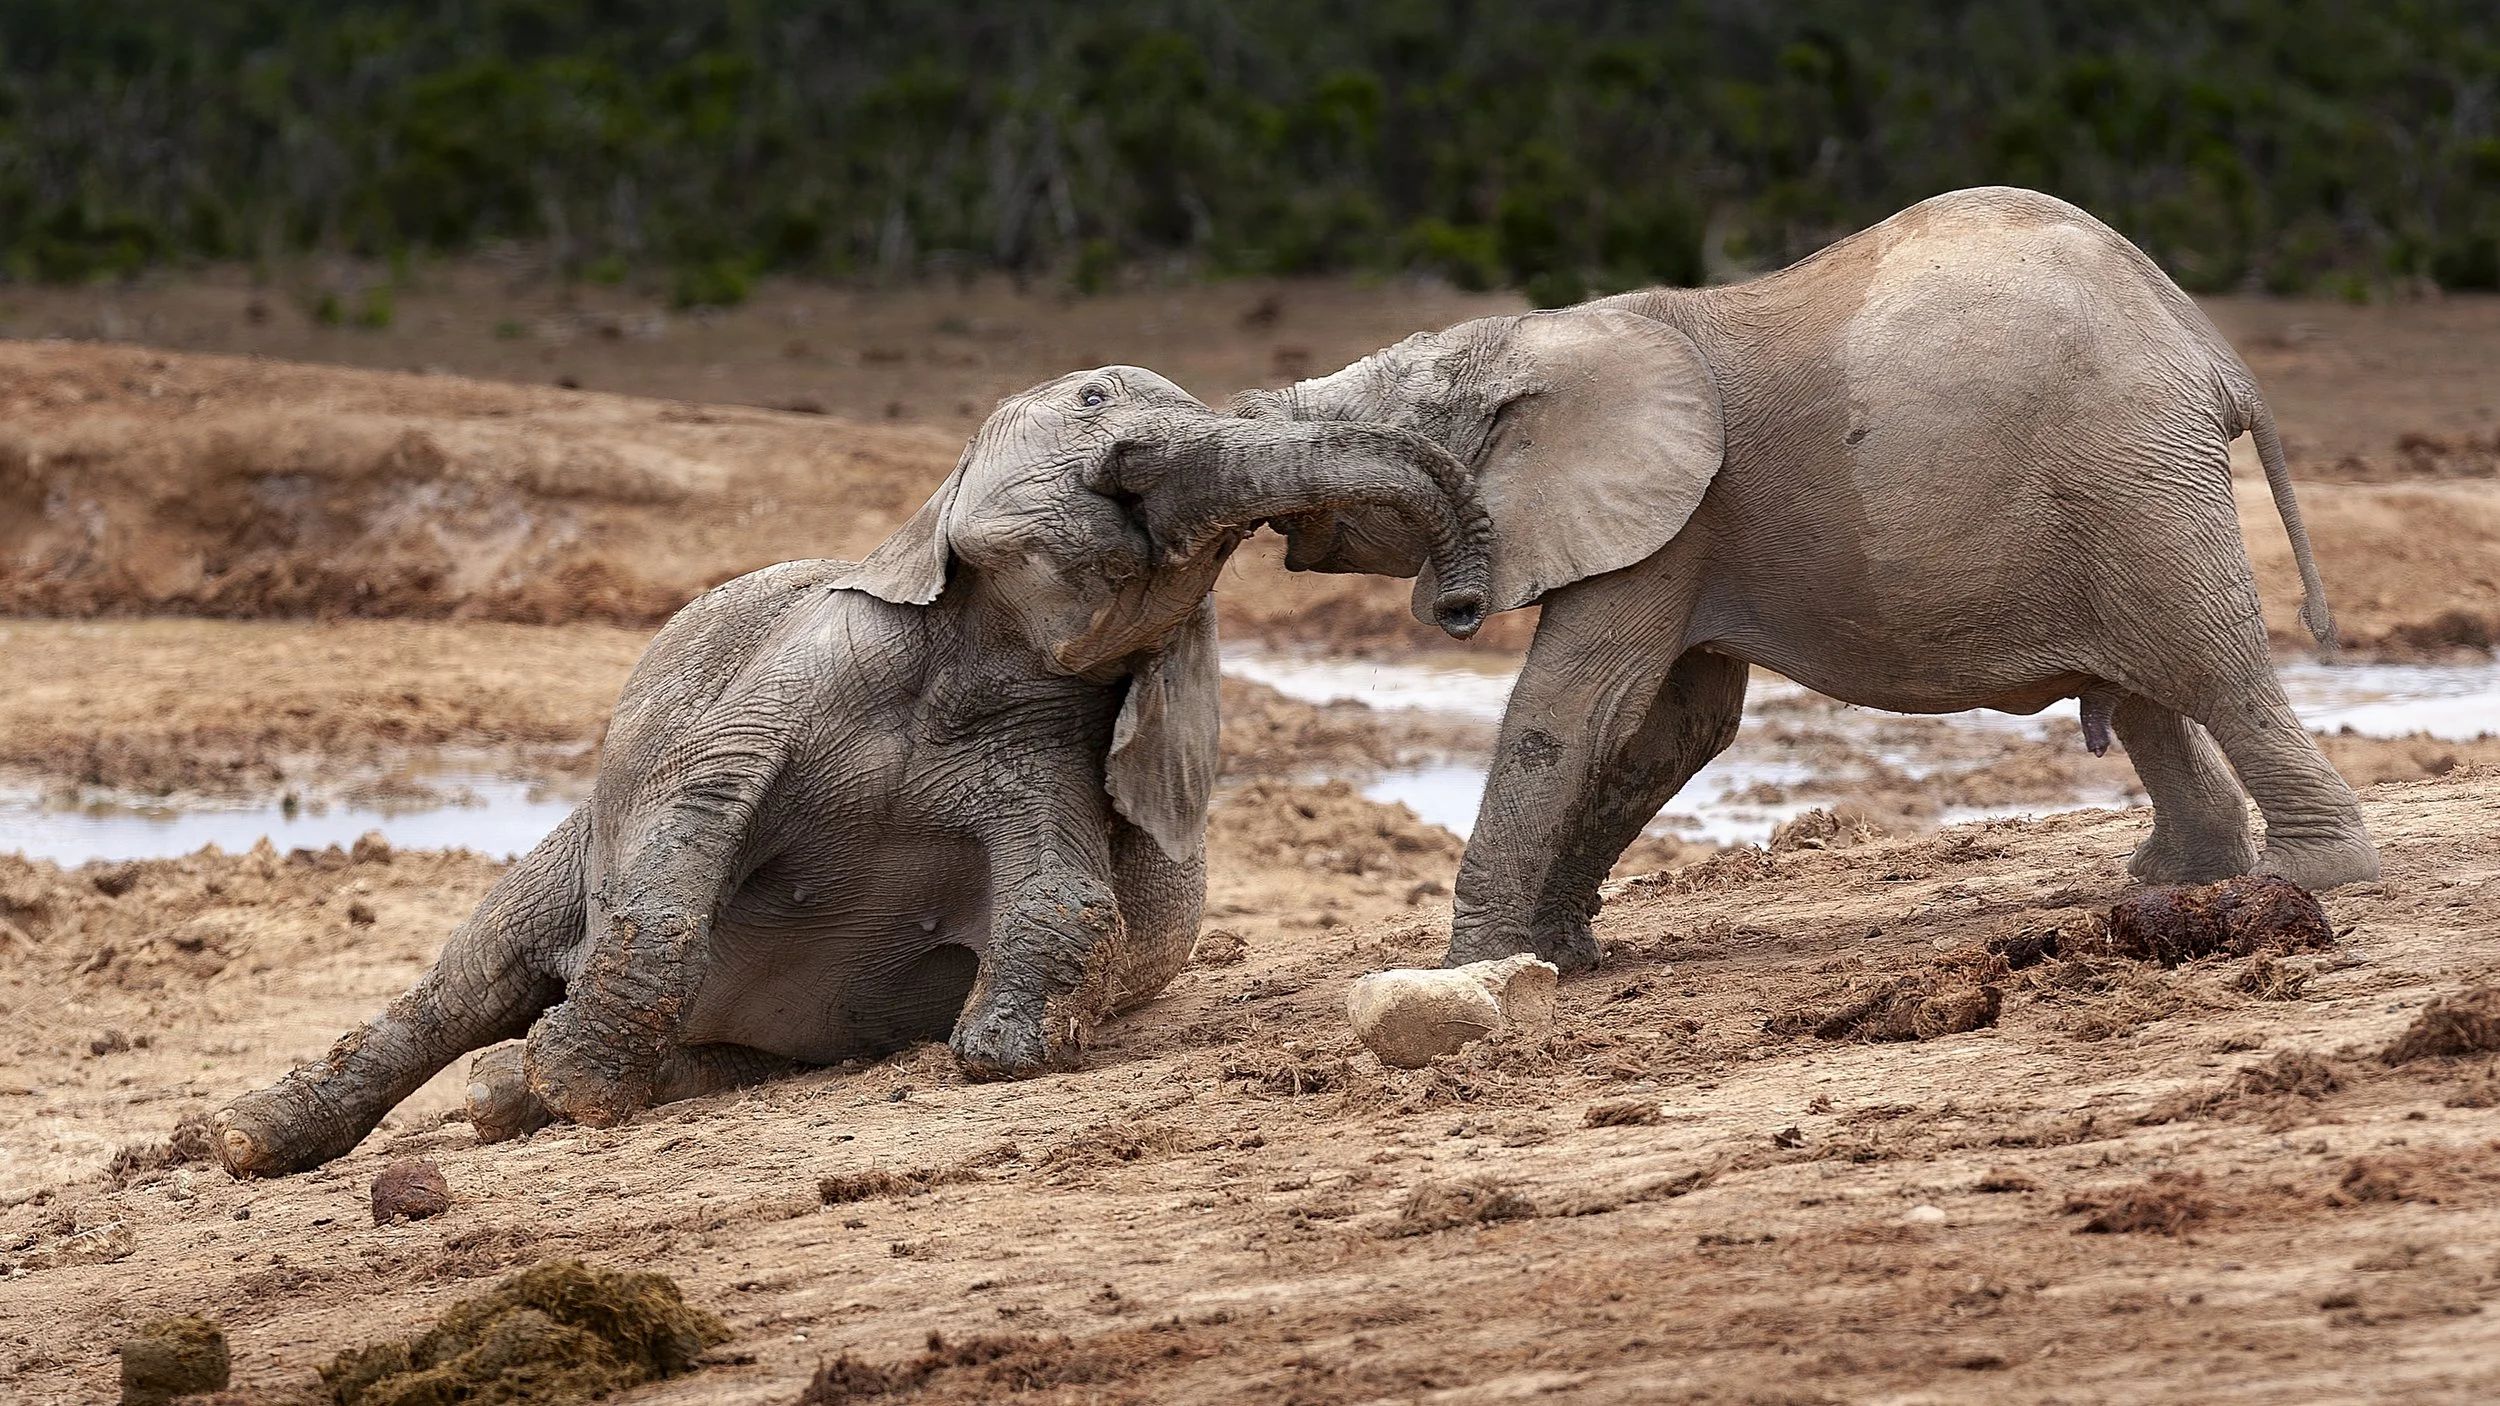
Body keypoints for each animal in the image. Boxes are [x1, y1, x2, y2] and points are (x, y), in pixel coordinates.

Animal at [213, 366, 1493, 1176]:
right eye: (1094, 401)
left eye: (1219, 545)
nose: (1458, 607)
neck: (977, 642)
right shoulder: (812, 656)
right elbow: (699, 809)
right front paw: (582, 1085)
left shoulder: (1046, 740)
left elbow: (1068, 890)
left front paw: (1001, 1050)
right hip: (563, 846)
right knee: (468, 977)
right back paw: (257, 1138)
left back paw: (511, 1091)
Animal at [1233, 185, 2378, 975]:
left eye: (1372, 434)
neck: (1546, 332)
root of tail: (2212, 354)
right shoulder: (1686, 533)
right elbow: (1672, 728)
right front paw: (1560, 958)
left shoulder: (1674, 521)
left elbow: (1577, 710)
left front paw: (1478, 967)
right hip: (2123, 488)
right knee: (2151, 691)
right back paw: (2178, 878)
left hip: (2130, 471)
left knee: (2211, 665)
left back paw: (2308, 878)